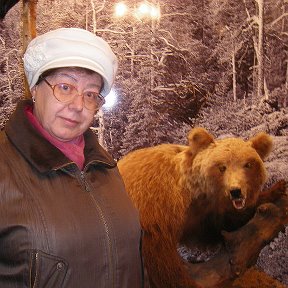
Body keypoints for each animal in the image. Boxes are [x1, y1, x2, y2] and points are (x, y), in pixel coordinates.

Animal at [117, 128, 274, 288]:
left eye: (248, 164)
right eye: (221, 167)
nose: (236, 191)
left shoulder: (201, 216)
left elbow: (219, 228)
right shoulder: (155, 210)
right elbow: (162, 260)